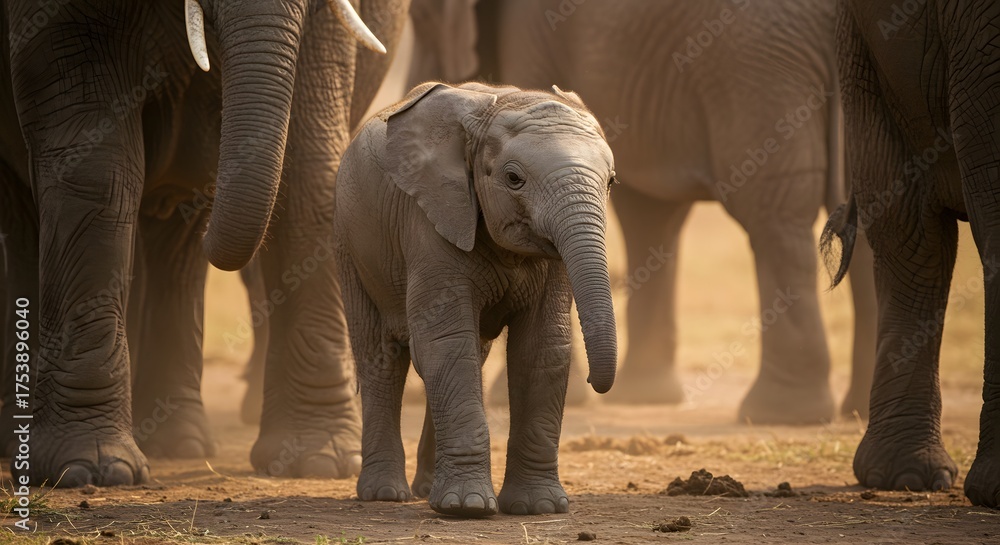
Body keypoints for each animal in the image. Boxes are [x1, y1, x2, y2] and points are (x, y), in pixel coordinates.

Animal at [0, 0, 407, 486]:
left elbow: (310, 160)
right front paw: (89, 469)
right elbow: (94, 167)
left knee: (174, 245)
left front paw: (319, 462)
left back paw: (178, 442)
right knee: (23, 214)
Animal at [334, 81, 618, 517]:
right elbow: (446, 343)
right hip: (350, 245)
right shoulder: (430, 221)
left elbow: (541, 347)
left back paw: (425, 489)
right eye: (514, 178)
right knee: (380, 357)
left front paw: (538, 507)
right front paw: (465, 507)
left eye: (611, 183)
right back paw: (385, 494)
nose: (594, 383)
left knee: (472, 353)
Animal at [406, 0, 879, 424]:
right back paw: (854, 411)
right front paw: (646, 396)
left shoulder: (532, 33)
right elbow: (648, 212)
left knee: (772, 214)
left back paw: (780, 415)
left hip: (757, 68)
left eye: (421, 17)